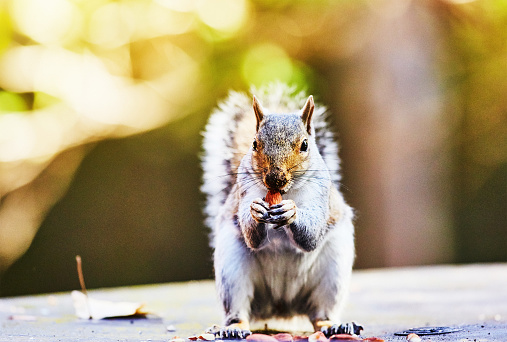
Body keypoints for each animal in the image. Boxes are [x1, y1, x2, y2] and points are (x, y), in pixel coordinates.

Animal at [200, 84, 360, 338]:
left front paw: (291, 212)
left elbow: (311, 235)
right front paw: (256, 211)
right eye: (254, 144)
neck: (285, 193)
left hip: (333, 271)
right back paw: (233, 328)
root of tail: (281, 305)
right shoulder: (244, 189)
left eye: (305, 145)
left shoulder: (320, 193)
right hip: (231, 271)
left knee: (320, 313)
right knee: (238, 310)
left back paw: (333, 325)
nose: (275, 178)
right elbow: (252, 236)